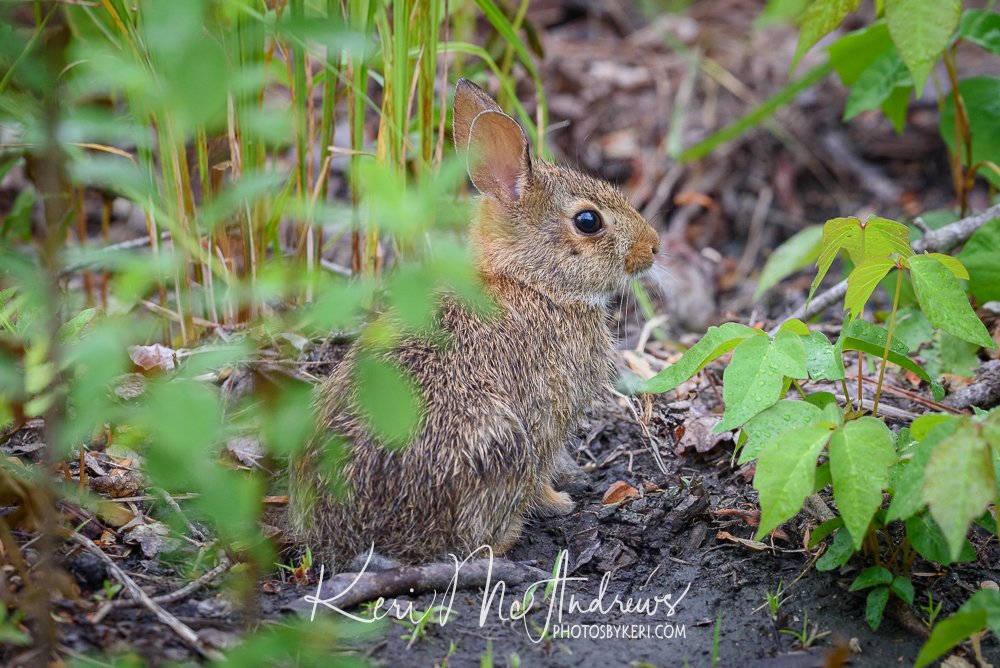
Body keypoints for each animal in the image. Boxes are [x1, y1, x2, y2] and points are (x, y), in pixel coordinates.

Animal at [288, 79, 660, 566]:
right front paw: (559, 502)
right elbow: (541, 470)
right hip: (499, 444)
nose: (652, 246)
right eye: (588, 221)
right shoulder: (547, 415)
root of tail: (353, 540)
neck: (530, 282)